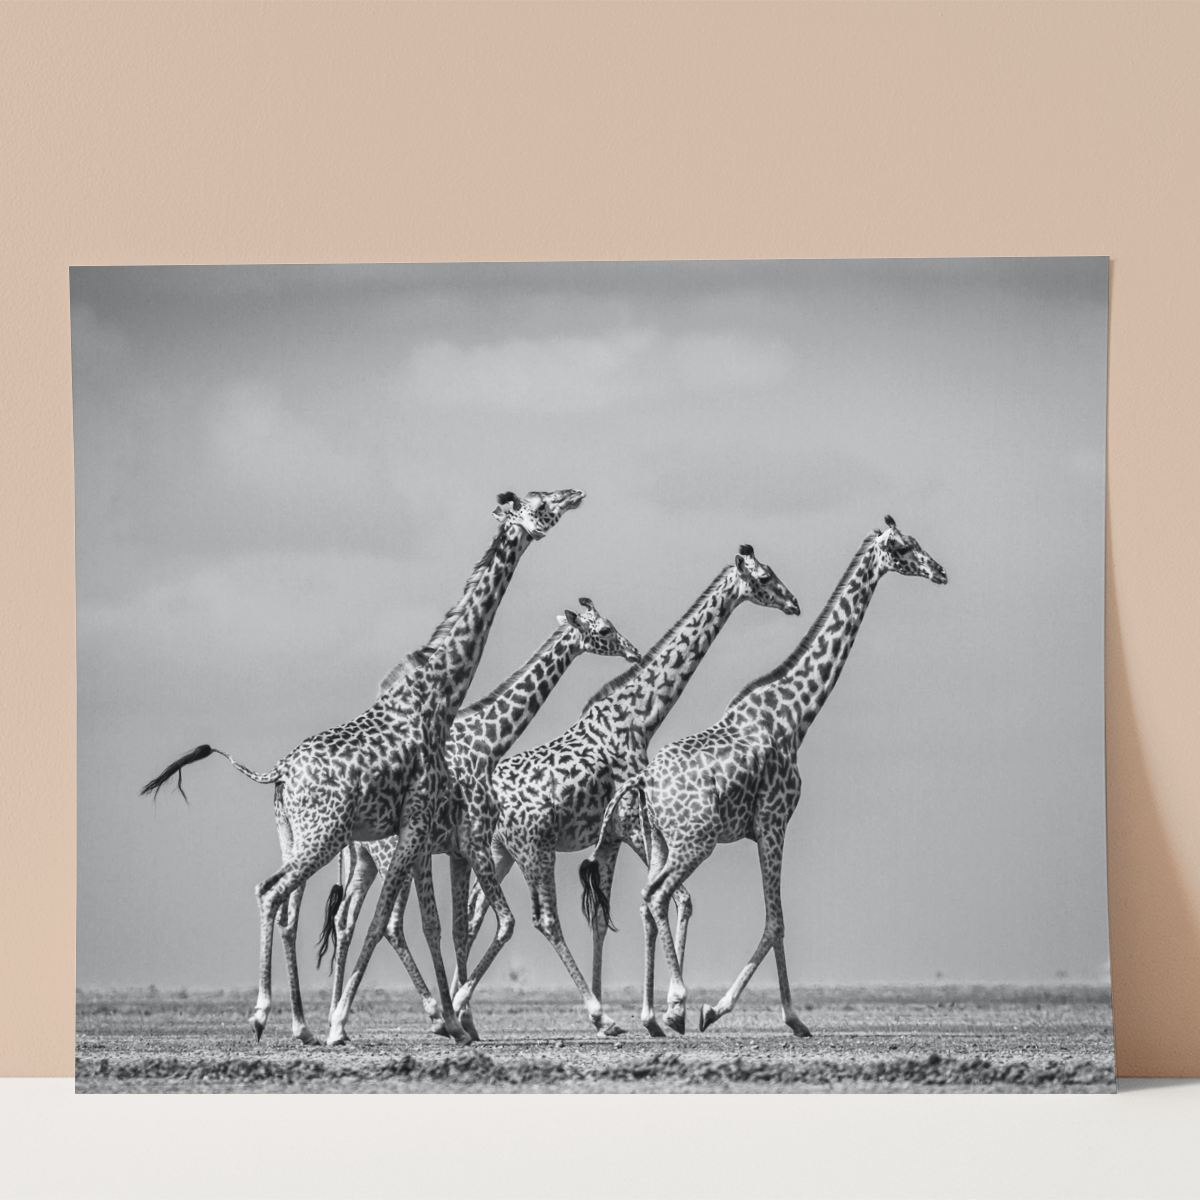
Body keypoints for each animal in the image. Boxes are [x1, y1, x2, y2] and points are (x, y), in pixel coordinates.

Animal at [140, 488, 584, 1047]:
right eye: (541, 503)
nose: (575, 494)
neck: (435, 698)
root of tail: (278, 773)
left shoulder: (415, 834)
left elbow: (414, 923)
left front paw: (442, 1021)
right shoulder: (416, 825)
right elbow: (394, 922)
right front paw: (397, 1022)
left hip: (302, 835)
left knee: (290, 907)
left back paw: (300, 1025)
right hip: (326, 833)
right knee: (273, 892)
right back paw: (267, 1016)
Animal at [319, 598, 643, 1042]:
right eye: (606, 630)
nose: (634, 652)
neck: (485, 739)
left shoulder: (459, 850)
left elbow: (463, 924)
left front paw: (462, 1014)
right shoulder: (467, 844)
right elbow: (483, 922)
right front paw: (457, 1015)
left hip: (367, 860)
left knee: (348, 918)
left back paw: (339, 1021)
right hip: (390, 855)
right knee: (388, 922)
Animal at [465, 545, 802, 1035]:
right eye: (763, 577)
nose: (793, 603)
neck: (639, 717)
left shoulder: (617, 836)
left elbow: (608, 918)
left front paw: (661, 1010)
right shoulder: (634, 826)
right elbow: (674, 898)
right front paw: (670, 1008)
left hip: (499, 850)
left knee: (476, 912)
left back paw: (461, 1014)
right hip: (533, 849)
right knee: (542, 919)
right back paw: (595, 1014)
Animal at [588, 516, 946, 1038]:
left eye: (917, 542)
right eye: (901, 547)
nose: (939, 570)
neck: (797, 715)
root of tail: (643, 783)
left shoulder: (760, 829)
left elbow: (772, 920)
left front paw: (749, 1012)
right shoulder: (775, 821)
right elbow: (776, 921)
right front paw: (770, 1015)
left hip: (656, 838)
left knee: (645, 901)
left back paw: (652, 1016)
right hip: (695, 840)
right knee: (657, 897)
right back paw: (674, 1007)